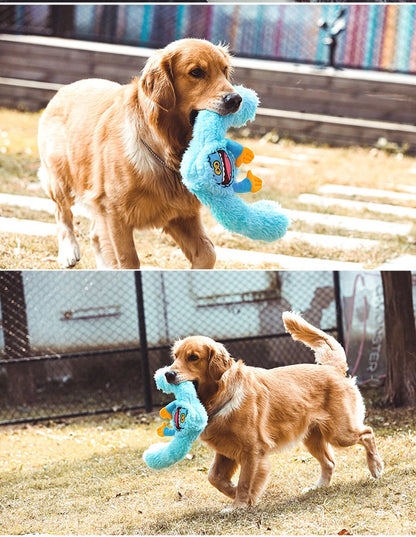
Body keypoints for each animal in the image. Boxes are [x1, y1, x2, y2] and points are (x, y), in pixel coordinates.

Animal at [39, 38, 242, 268]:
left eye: (224, 70)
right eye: (196, 72)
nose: (236, 99)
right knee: (62, 213)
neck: (165, 148)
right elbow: (127, 260)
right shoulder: (113, 212)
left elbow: (209, 253)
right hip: (60, 178)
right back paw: (68, 251)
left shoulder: (181, 214)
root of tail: (64, 89)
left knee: (95, 235)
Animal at [166, 310, 384, 506]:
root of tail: (332, 369)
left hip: (340, 433)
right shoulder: (226, 450)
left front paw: (239, 504)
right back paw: (318, 487)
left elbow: (245, 482)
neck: (222, 395)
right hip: (312, 437)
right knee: (329, 462)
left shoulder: (252, 451)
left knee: (367, 433)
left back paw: (375, 467)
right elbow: (214, 477)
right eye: (175, 357)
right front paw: (238, 495)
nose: (168, 374)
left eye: (193, 357)